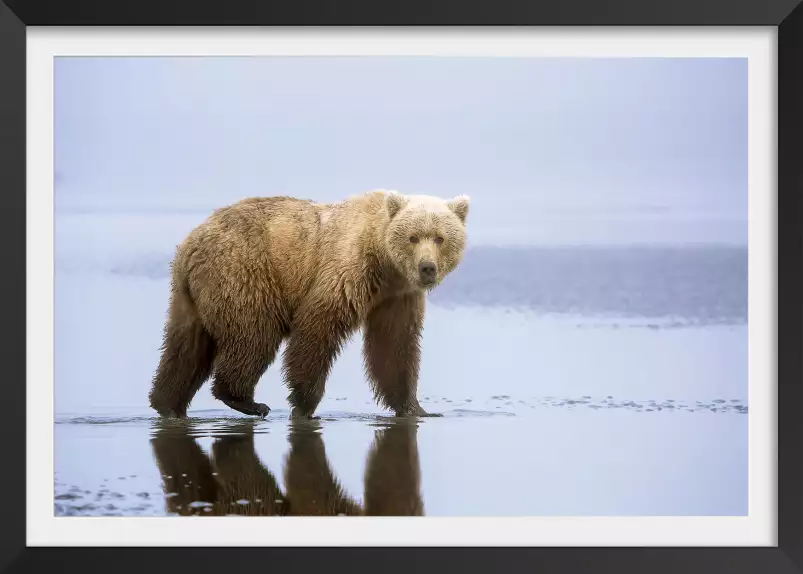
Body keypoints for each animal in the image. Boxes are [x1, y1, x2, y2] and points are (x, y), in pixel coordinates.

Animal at [149, 191, 472, 420]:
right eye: (413, 237)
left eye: (440, 237)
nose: (427, 268)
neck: (384, 263)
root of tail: (191, 243)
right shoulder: (347, 271)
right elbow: (317, 328)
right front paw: (304, 404)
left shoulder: (396, 297)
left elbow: (395, 347)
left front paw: (417, 407)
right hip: (244, 274)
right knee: (253, 336)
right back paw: (248, 401)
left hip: (189, 297)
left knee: (185, 348)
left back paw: (167, 404)